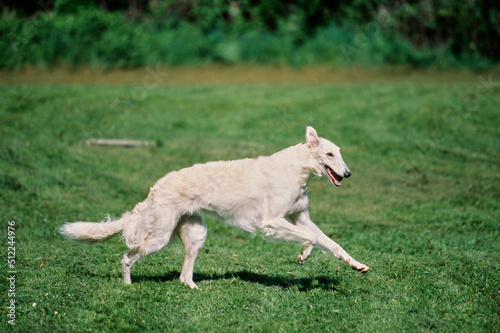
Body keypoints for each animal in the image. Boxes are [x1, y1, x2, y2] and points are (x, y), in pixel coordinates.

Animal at [60, 126, 370, 286]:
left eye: (340, 153)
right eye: (329, 154)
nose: (348, 174)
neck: (295, 169)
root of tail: (155, 188)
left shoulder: (299, 216)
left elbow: (331, 243)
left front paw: (357, 265)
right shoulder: (272, 221)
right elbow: (313, 239)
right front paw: (304, 255)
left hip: (195, 234)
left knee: (184, 276)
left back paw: (193, 287)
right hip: (159, 238)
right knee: (126, 257)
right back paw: (127, 287)